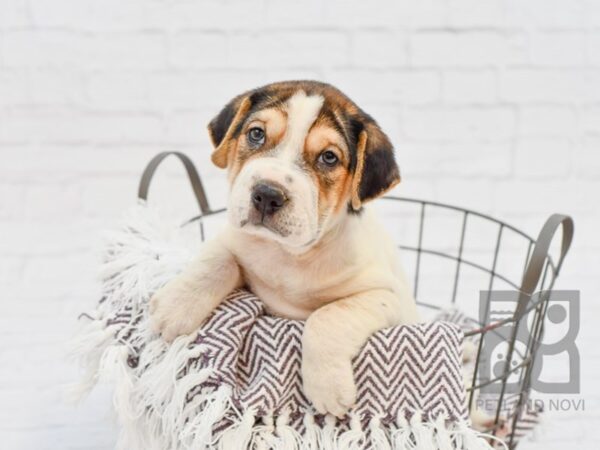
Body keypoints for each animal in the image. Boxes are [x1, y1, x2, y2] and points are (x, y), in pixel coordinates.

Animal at [150, 80, 418, 418]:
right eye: (256, 134)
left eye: (329, 157)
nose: (267, 194)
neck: (289, 254)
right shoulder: (232, 239)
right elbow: (215, 261)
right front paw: (175, 307)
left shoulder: (385, 295)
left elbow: (328, 316)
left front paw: (328, 387)